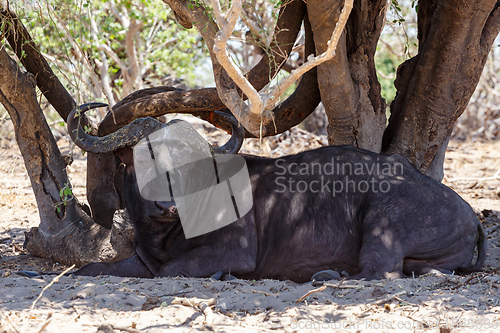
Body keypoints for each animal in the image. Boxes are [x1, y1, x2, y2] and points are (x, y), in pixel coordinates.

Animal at [68, 104, 486, 280]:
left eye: (189, 163)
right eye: (145, 159)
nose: (167, 204)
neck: (165, 233)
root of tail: (470, 213)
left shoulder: (233, 251)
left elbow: (171, 271)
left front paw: (220, 276)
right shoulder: (140, 260)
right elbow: (89, 269)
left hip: (384, 220)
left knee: (380, 272)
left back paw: (327, 276)